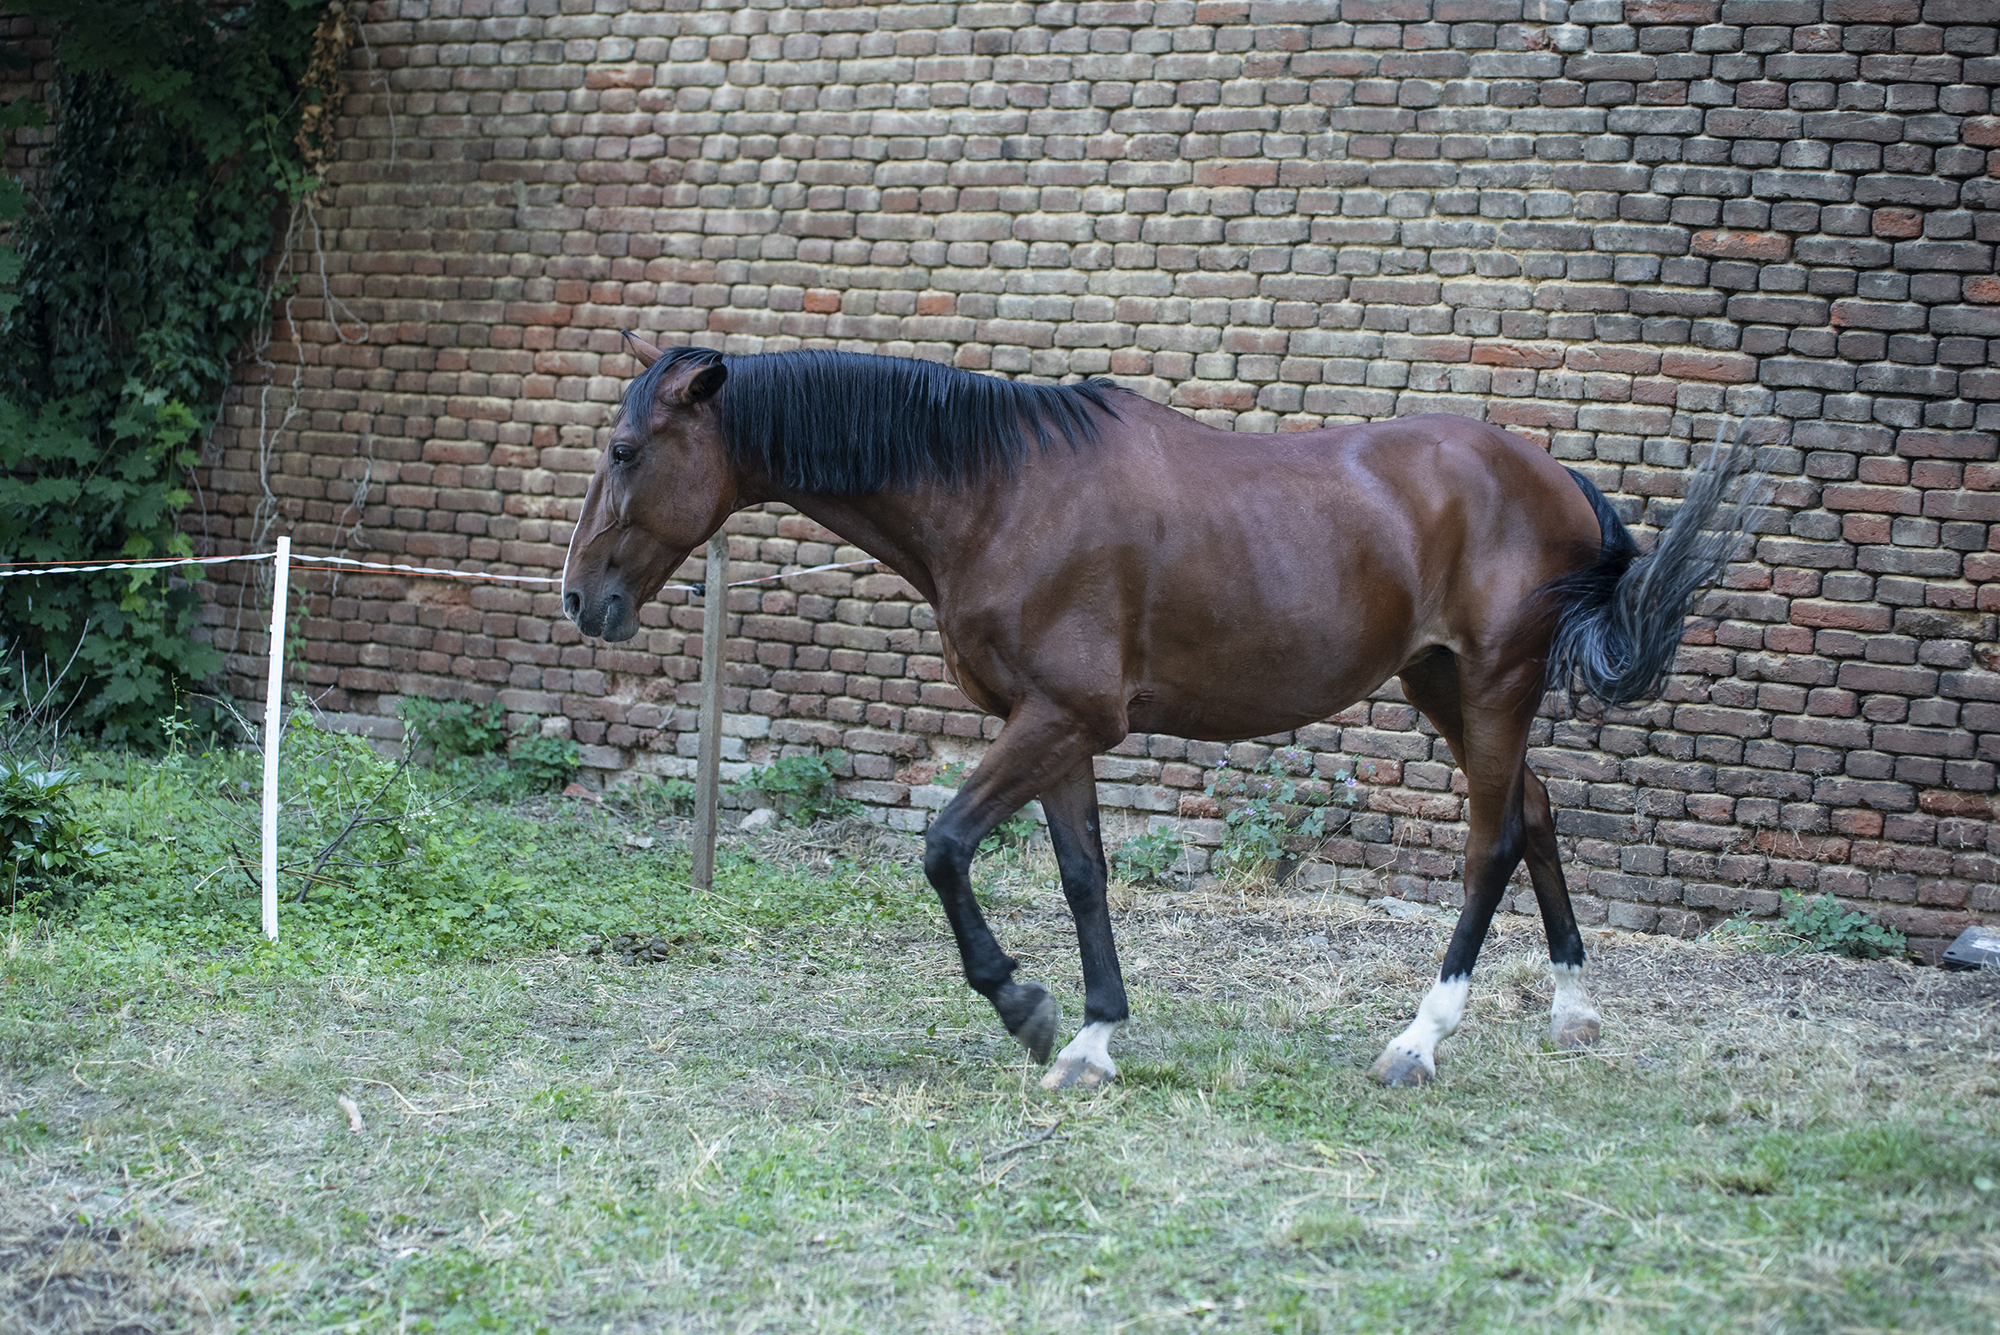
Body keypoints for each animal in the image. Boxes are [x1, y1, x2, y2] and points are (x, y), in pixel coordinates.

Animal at [568, 339, 1752, 1087]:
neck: (999, 493)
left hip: (1496, 686)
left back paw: (1419, 1041)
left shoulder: (1063, 719)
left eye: (625, 453)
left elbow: (944, 846)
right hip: (1442, 685)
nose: (583, 600)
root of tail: (1554, 478)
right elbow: (1082, 875)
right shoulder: (1056, 729)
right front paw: (1090, 1038)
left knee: (1490, 845)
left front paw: (1023, 1005)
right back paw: (1571, 1011)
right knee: (1538, 817)